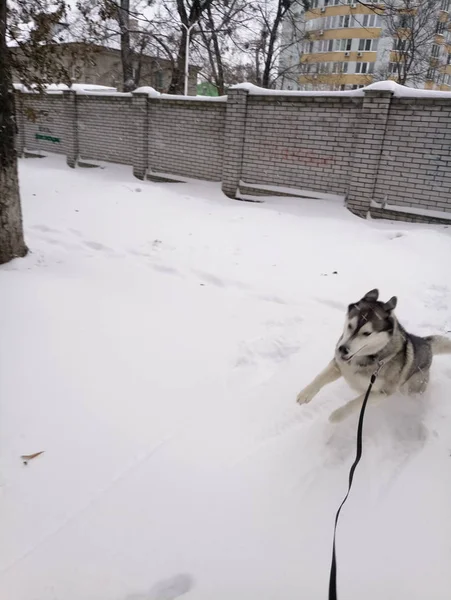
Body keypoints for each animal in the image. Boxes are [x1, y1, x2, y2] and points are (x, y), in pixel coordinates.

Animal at [296, 290, 451, 422]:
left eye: (367, 333)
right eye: (350, 326)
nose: (342, 349)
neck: (365, 358)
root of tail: (425, 342)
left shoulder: (382, 393)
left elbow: (356, 403)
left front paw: (336, 416)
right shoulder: (339, 365)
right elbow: (320, 377)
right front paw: (305, 394)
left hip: (411, 388)